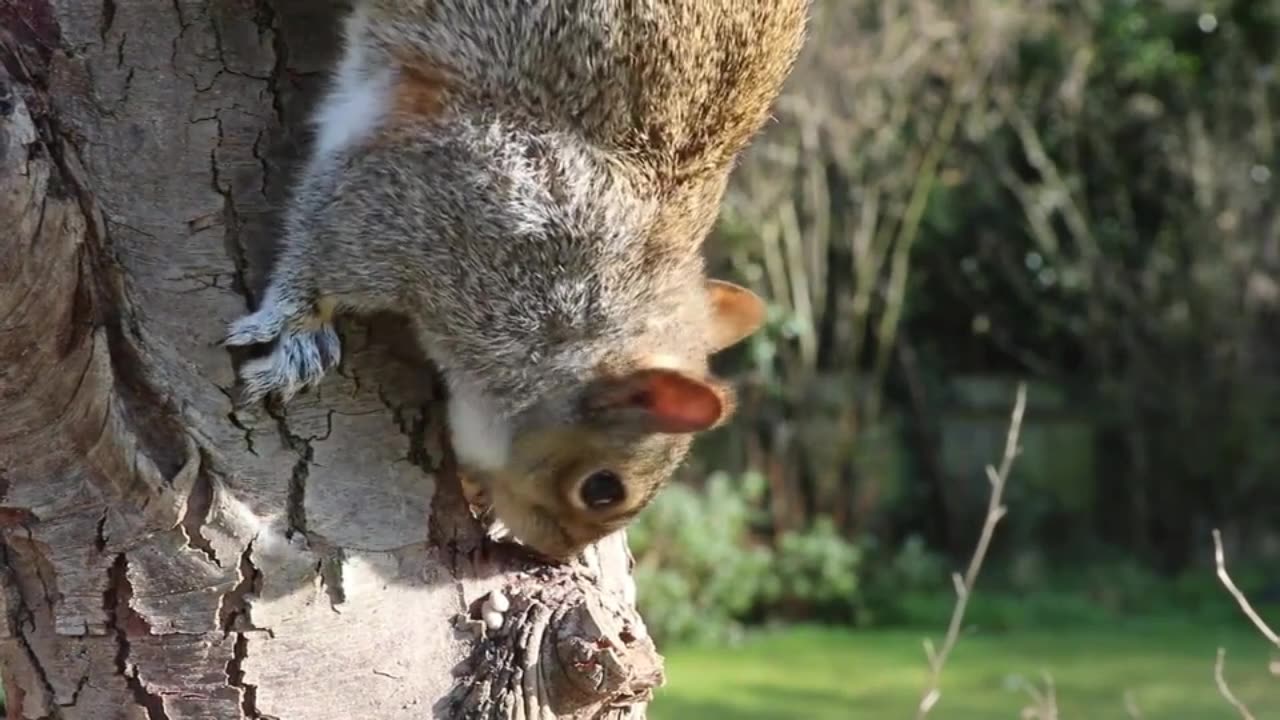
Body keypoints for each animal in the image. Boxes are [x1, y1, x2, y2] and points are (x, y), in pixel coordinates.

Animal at [224, 0, 808, 561]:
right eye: (601, 489)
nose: (557, 558)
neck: (582, 299)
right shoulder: (430, 205)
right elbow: (321, 248)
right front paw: (297, 334)